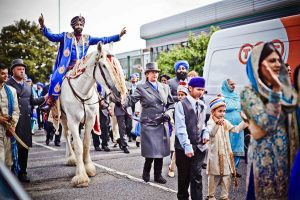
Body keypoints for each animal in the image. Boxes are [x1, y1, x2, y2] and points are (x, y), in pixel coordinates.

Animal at [58, 43, 126, 188]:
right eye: (104, 65)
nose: (118, 93)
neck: (82, 92)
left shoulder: (90, 119)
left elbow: (86, 143)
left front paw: (88, 168)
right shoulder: (73, 121)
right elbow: (78, 145)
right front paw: (81, 177)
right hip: (63, 118)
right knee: (66, 135)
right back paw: (70, 158)